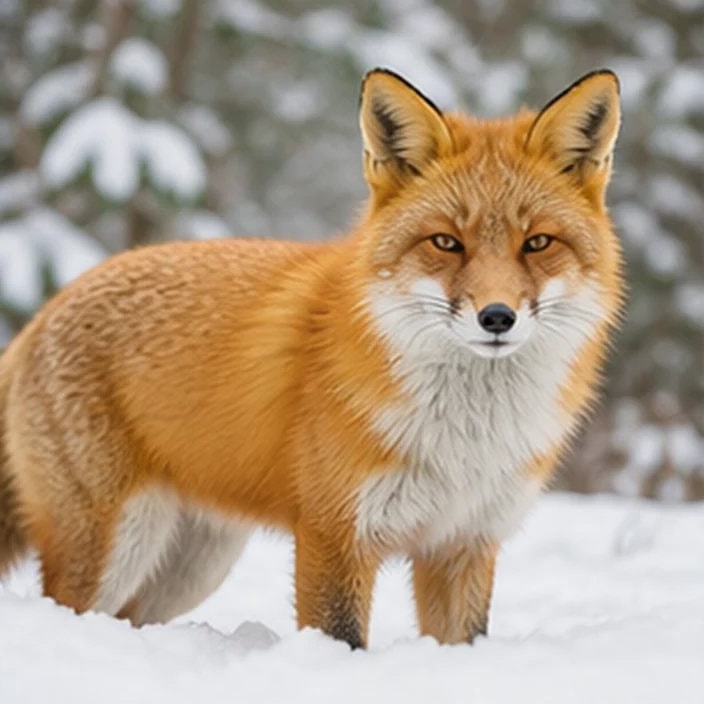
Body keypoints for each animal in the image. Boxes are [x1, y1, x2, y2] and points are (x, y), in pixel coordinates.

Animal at [0, 68, 623, 649]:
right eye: (446, 242)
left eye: (537, 243)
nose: (497, 317)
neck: (466, 435)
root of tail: (42, 312)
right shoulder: (334, 533)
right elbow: (340, 638)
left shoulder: (463, 541)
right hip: (114, 545)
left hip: (191, 564)